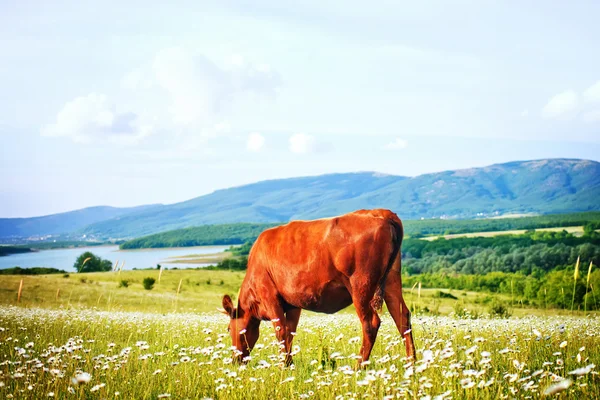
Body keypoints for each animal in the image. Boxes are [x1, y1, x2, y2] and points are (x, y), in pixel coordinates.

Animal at [221, 209, 418, 366]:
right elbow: (290, 333)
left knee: (371, 324)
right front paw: (290, 364)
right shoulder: (293, 304)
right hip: (392, 282)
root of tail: (381, 213)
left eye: (229, 329)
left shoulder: (269, 297)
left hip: (361, 287)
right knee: (402, 318)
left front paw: (283, 366)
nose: (235, 360)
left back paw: (359, 366)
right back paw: (412, 363)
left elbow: (281, 332)